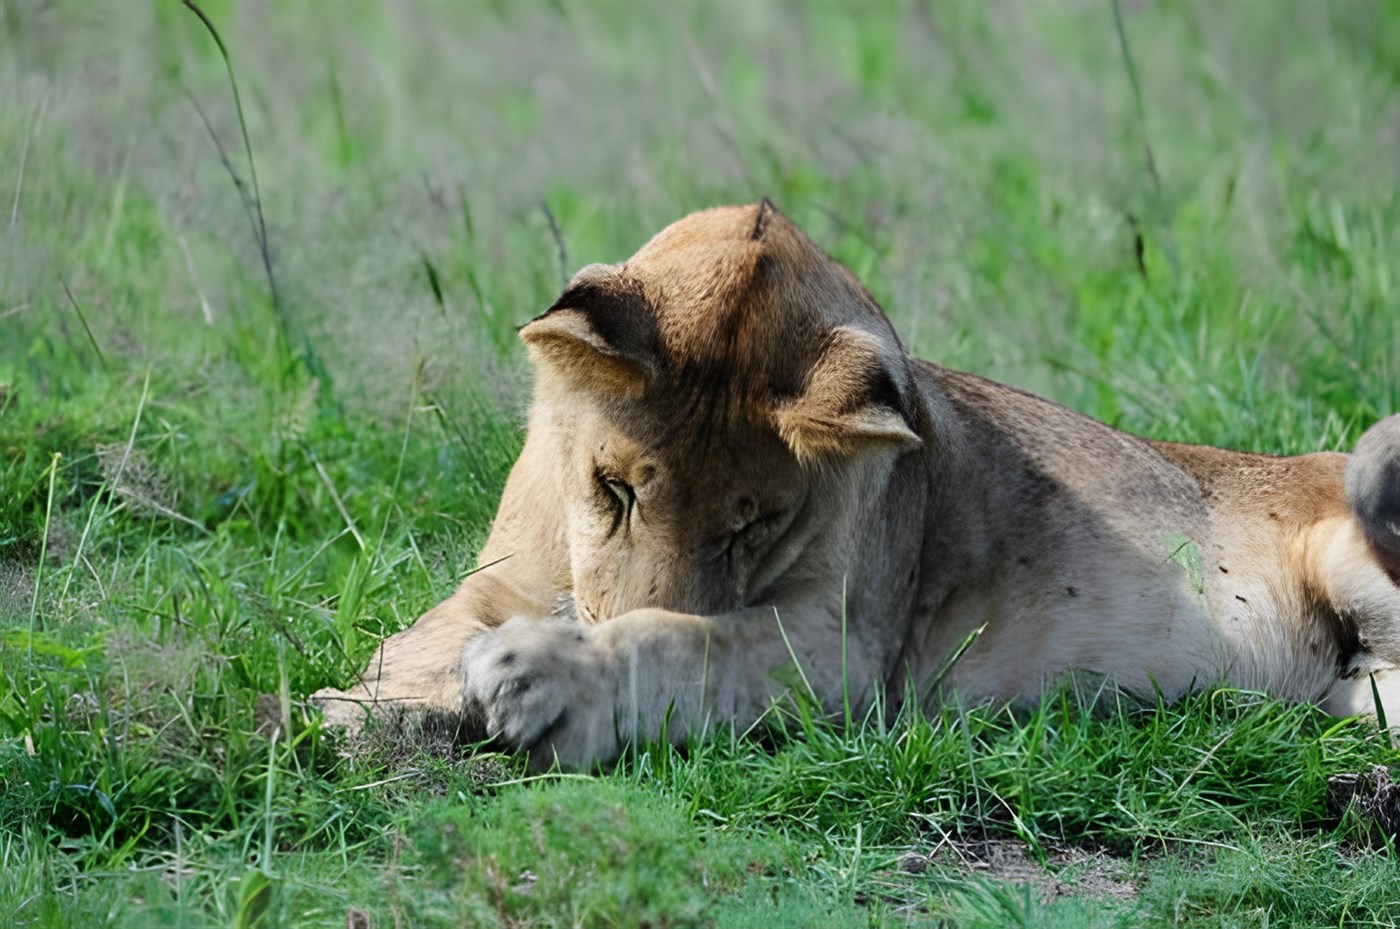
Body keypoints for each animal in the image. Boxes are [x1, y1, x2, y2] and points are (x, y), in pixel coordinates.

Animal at [315, 200, 1400, 769]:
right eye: (613, 490)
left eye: (747, 526)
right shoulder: (501, 578)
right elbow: (423, 637)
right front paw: (365, 709)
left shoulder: (844, 651)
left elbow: (674, 641)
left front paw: (541, 678)